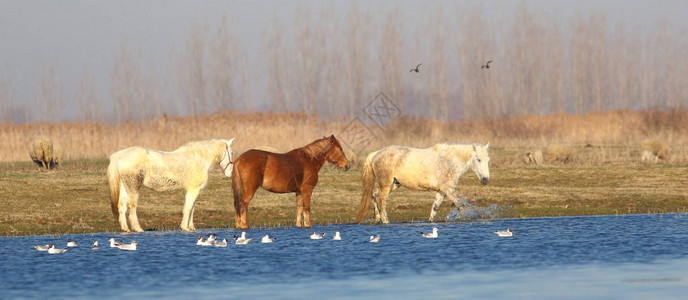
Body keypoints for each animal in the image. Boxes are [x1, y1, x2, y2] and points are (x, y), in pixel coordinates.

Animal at [107, 138, 235, 232]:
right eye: (232, 153)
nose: (230, 173)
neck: (199, 158)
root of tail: (118, 155)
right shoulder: (193, 189)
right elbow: (188, 208)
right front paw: (184, 227)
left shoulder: (190, 190)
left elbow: (192, 208)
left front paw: (191, 227)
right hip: (133, 186)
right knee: (132, 205)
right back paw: (137, 228)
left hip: (125, 186)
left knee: (122, 206)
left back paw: (125, 229)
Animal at [354, 142, 490, 223]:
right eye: (478, 159)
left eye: (488, 160)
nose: (486, 180)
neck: (450, 161)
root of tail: (375, 154)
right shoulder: (449, 190)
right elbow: (460, 205)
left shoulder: (442, 191)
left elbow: (435, 208)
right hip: (386, 185)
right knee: (381, 201)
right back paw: (385, 220)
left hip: (394, 184)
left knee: (374, 195)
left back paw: (378, 218)